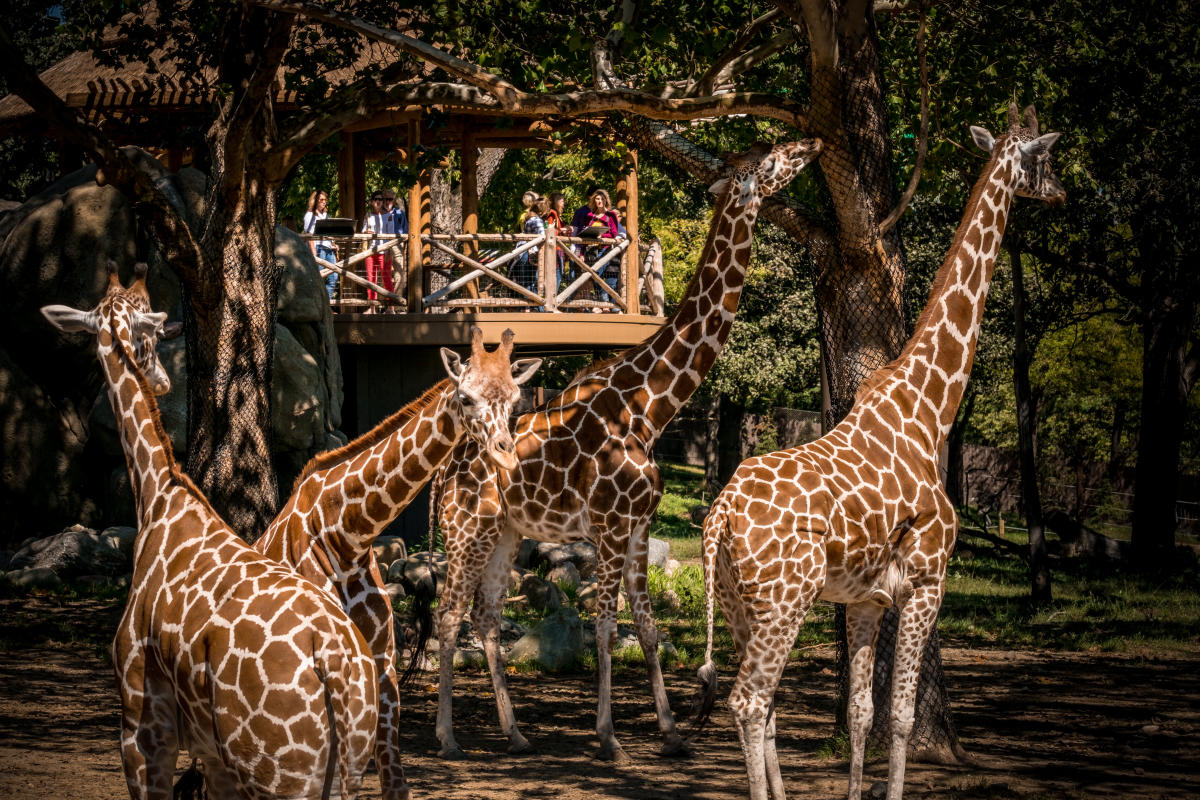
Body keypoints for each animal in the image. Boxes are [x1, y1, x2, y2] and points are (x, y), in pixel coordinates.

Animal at [41, 263, 379, 800]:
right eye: (152, 331)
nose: (161, 380)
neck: (158, 497)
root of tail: (337, 668)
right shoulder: (213, 756)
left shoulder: (142, 727)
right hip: (343, 763)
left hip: (280, 775)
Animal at [258, 326, 544, 800]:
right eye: (465, 397)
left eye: (514, 398)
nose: (505, 453)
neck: (348, 532)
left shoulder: (380, 656)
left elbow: (392, 778)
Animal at [422, 139, 825, 762]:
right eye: (769, 163)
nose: (810, 146)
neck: (648, 409)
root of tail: (445, 473)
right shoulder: (610, 528)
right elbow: (608, 626)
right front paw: (609, 737)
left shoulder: (638, 528)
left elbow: (648, 626)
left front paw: (672, 731)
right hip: (468, 529)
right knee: (448, 617)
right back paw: (446, 738)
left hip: (506, 534)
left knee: (487, 618)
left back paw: (516, 733)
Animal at [696, 106, 1070, 800]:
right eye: (1045, 159)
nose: (1061, 192)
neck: (930, 409)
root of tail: (717, 519)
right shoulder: (927, 579)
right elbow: (899, 714)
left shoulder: (866, 598)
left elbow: (862, 712)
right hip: (784, 600)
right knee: (749, 700)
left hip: (737, 604)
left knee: (762, 704)